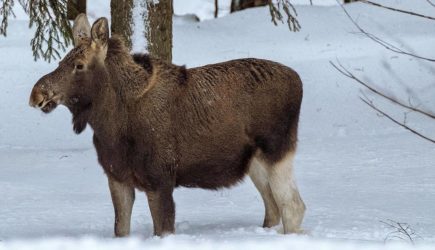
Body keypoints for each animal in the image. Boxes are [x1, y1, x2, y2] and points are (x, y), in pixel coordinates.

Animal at [29, 14, 306, 237]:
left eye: (79, 65)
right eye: (60, 61)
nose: (36, 94)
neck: (110, 124)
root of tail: (298, 81)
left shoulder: (160, 179)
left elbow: (162, 228)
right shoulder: (117, 177)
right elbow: (120, 229)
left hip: (277, 151)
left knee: (293, 206)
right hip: (254, 162)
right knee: (273, 208)